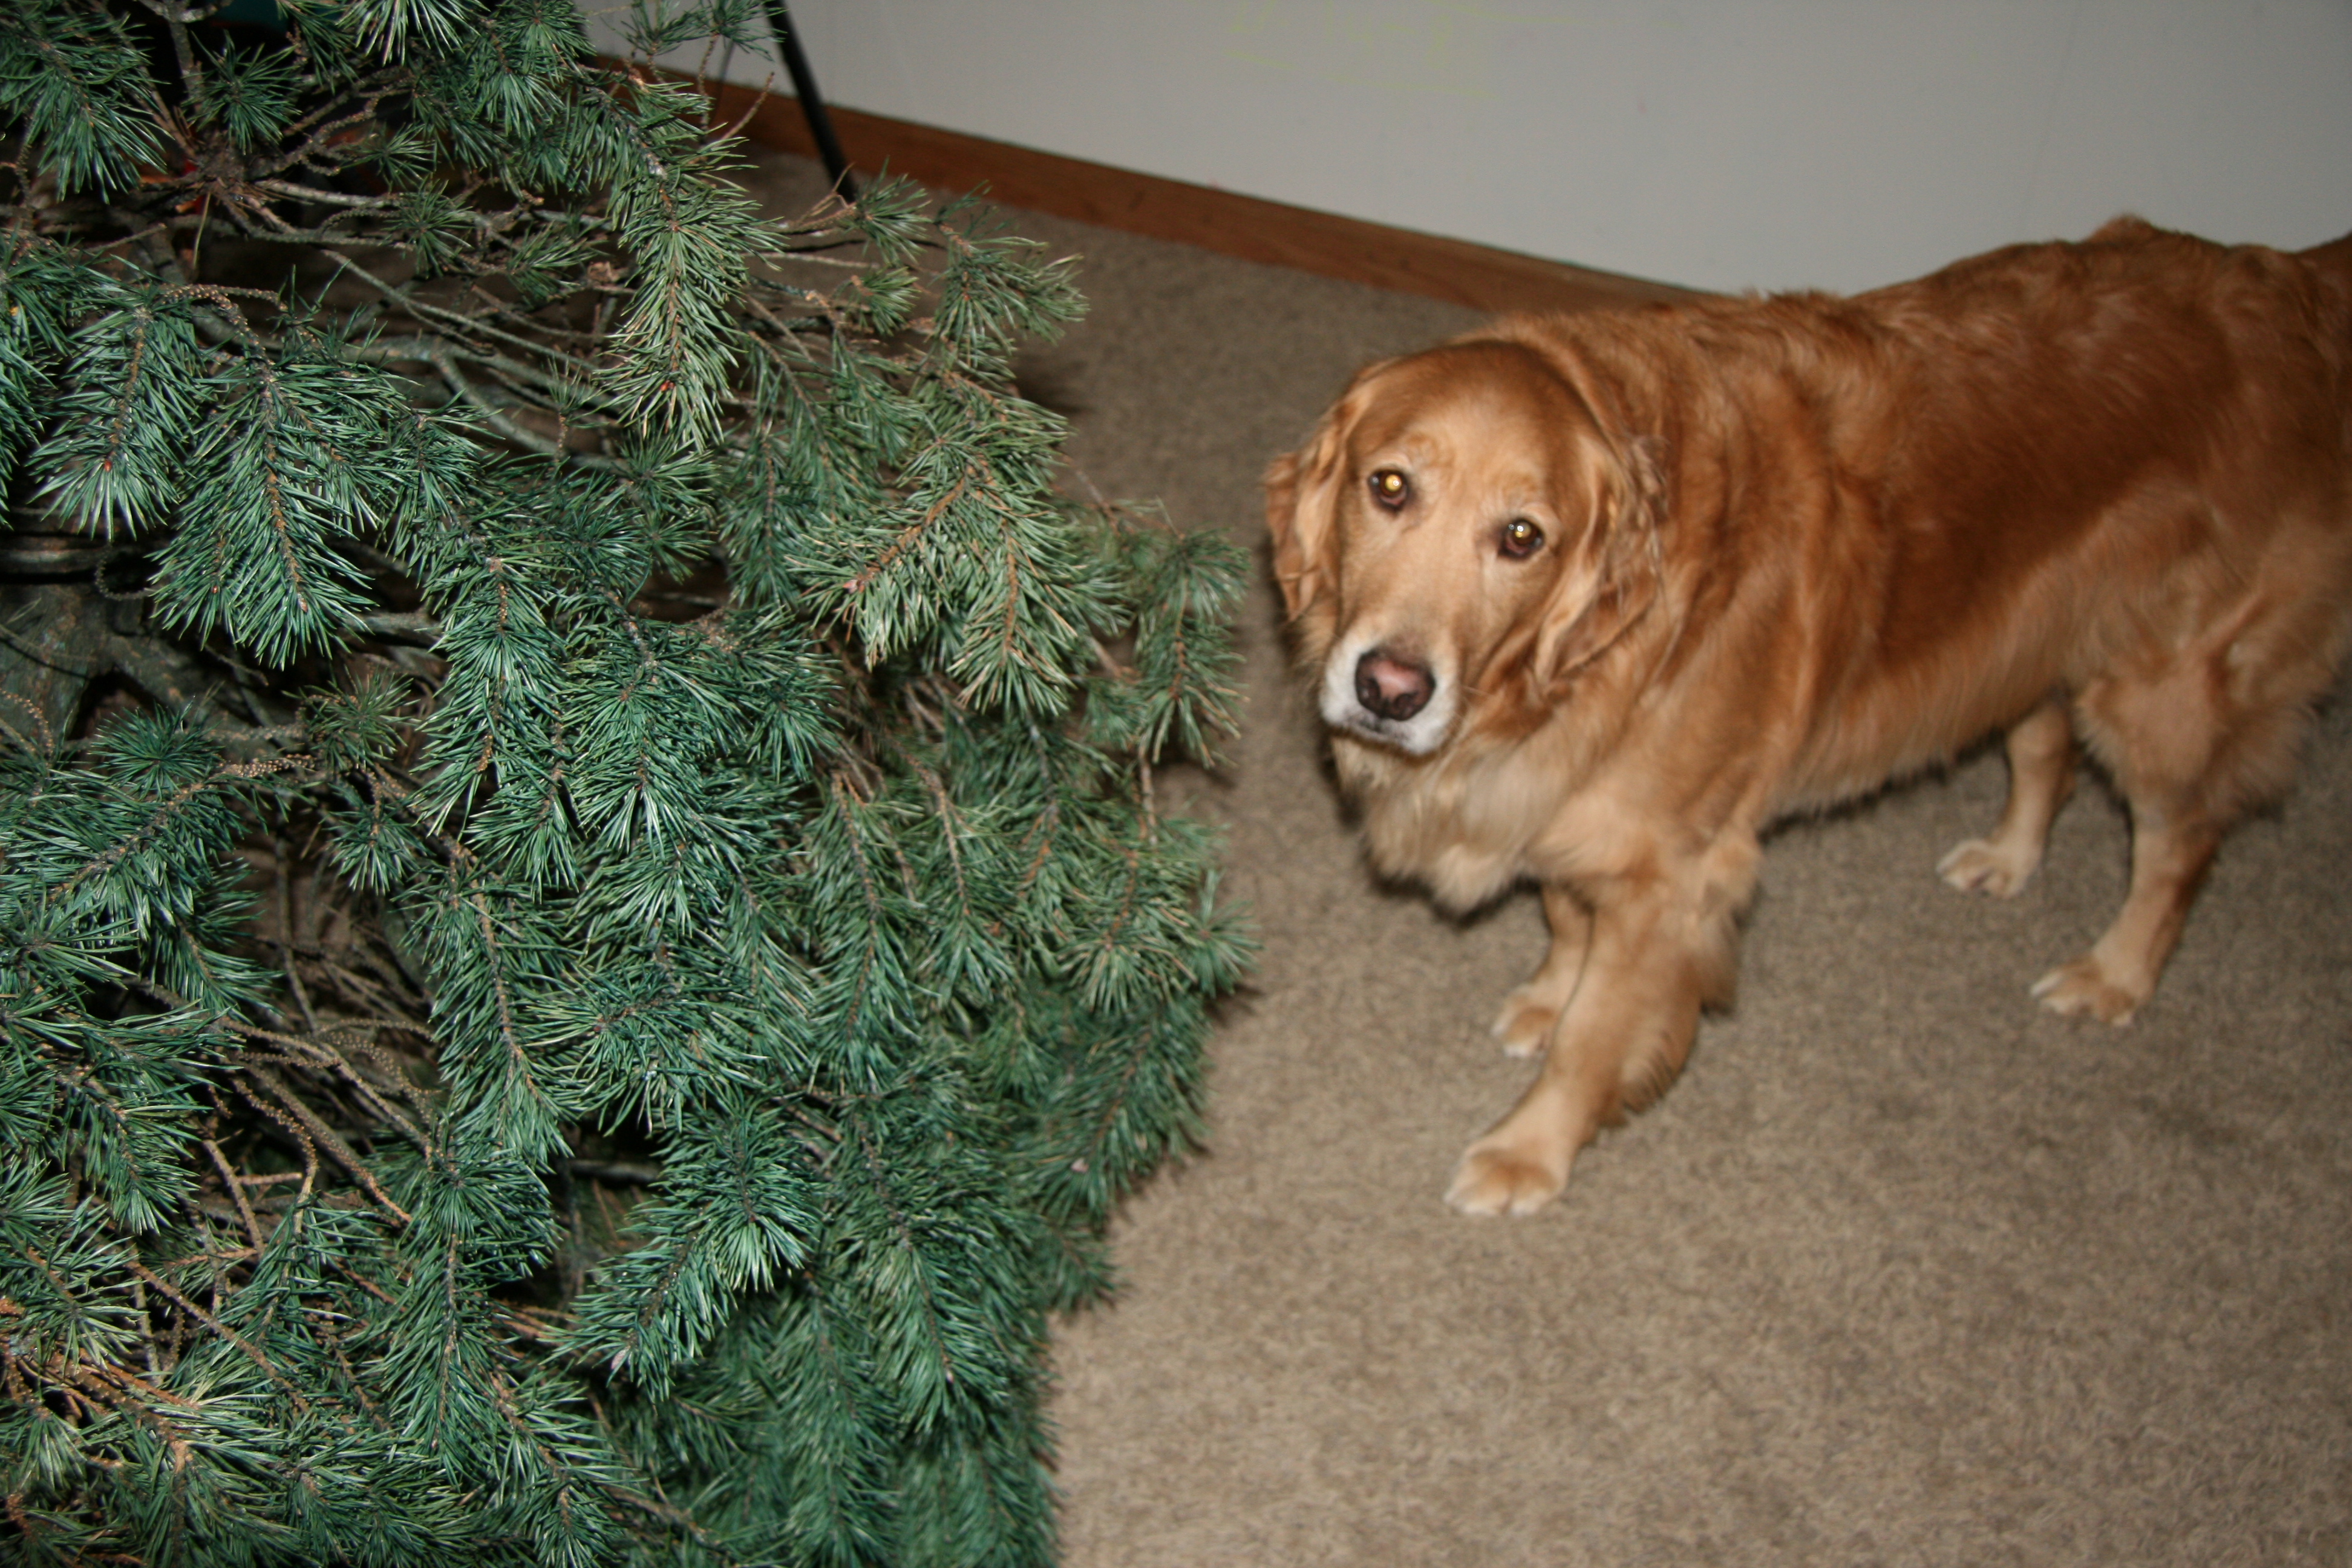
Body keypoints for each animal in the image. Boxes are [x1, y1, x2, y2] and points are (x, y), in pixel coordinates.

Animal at [1265, 217, 2352, 1217]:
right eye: (1388, 485)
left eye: (1522, 538)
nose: (1389, 689)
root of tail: (2288, 278)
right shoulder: (1584, 807)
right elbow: (1566, 911)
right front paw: (1546, 991)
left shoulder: (1675, 876)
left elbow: (1594, 1037)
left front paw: (1529, 1151)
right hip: (2035, 633)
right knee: (2046, 746)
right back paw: (2008, 857)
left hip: (2162, 690)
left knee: (2179, 845)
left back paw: (2115, 975)